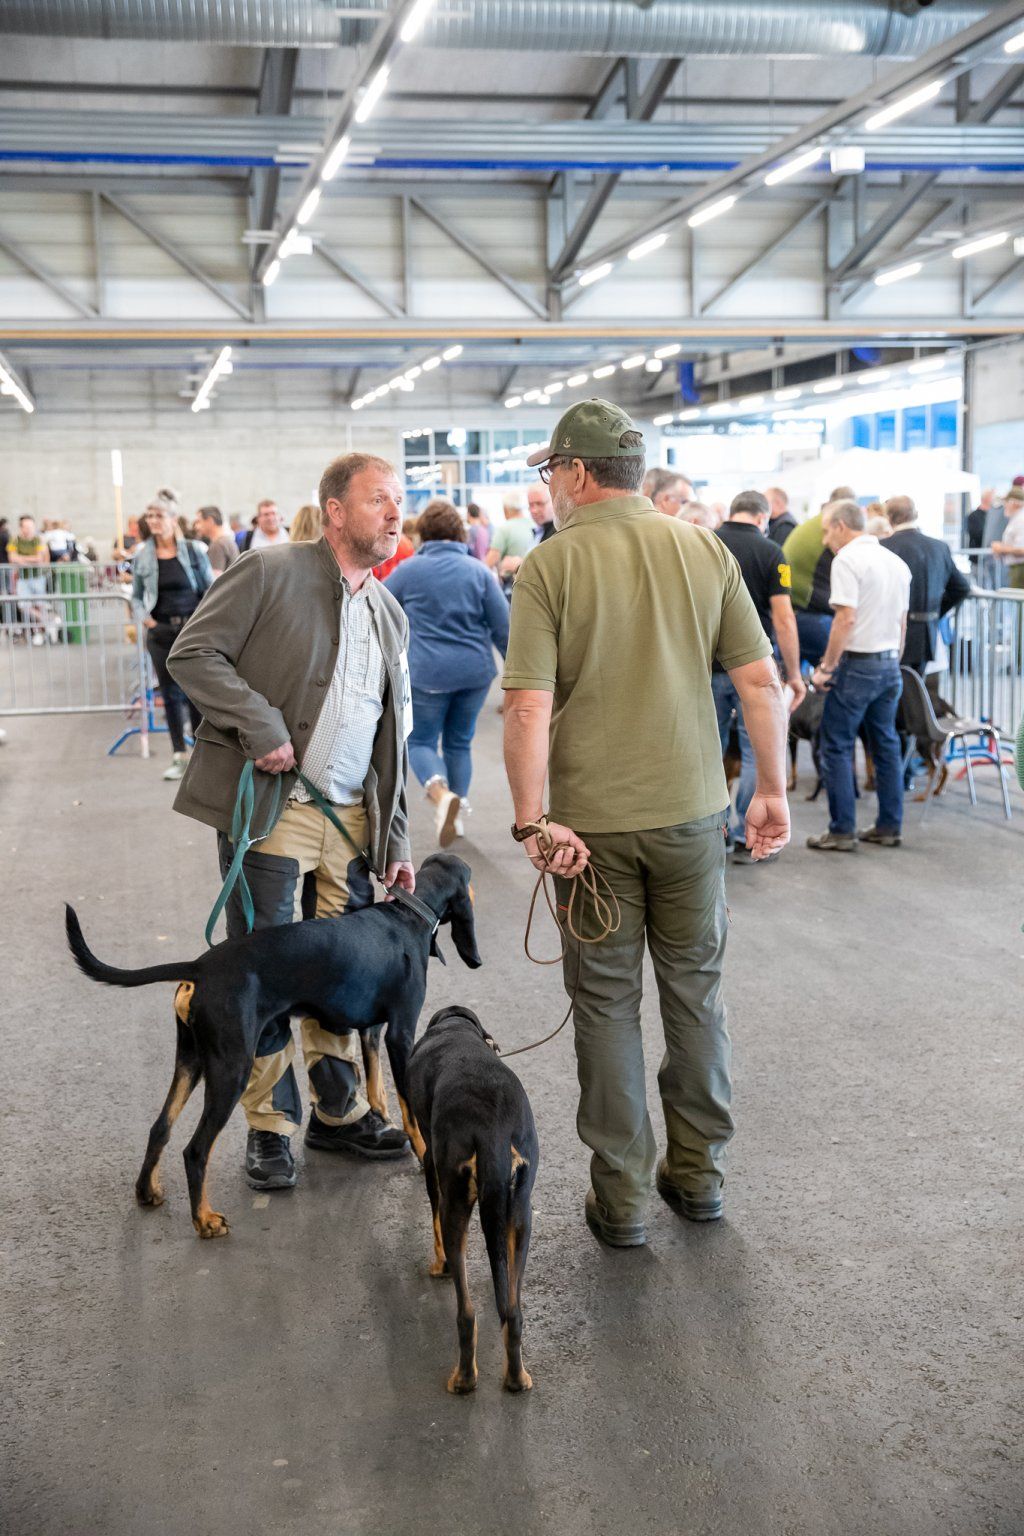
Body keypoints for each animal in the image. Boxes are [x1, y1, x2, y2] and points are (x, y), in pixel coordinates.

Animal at [64, 860, 482, 1241]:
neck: (408, 912)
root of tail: (199, 968)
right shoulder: (401, 1033)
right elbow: (410, 1107)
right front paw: (424, 1154)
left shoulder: (373, 1031)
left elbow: (378, 1087)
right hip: (231, 1068)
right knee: (195, 1150)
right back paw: (204, 1220)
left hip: (191, 1059)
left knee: (160, 1127)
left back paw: (146, 1191)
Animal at [405, 1001, 540, 1400]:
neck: (454, 1026)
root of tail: (491, 1128)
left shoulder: (431, 1163)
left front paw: (439, 1266)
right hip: (521, 1212)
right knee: (513, 1312)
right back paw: (517, 1378)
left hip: (455, 1201)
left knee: (466, 1313)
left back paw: (464, 1379)